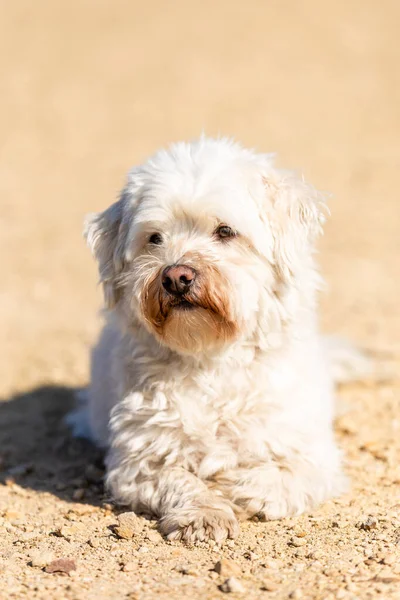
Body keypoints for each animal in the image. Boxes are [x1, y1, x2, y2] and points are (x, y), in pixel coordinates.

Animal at [71, 138, 350, 540]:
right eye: (154, 238)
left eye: (225, 231)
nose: (176, 276)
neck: (211, 358)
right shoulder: (139, 460)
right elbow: (180, 480)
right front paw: (204, 512)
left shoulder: (312, 454)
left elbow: (277, 475)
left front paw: (235, 488)